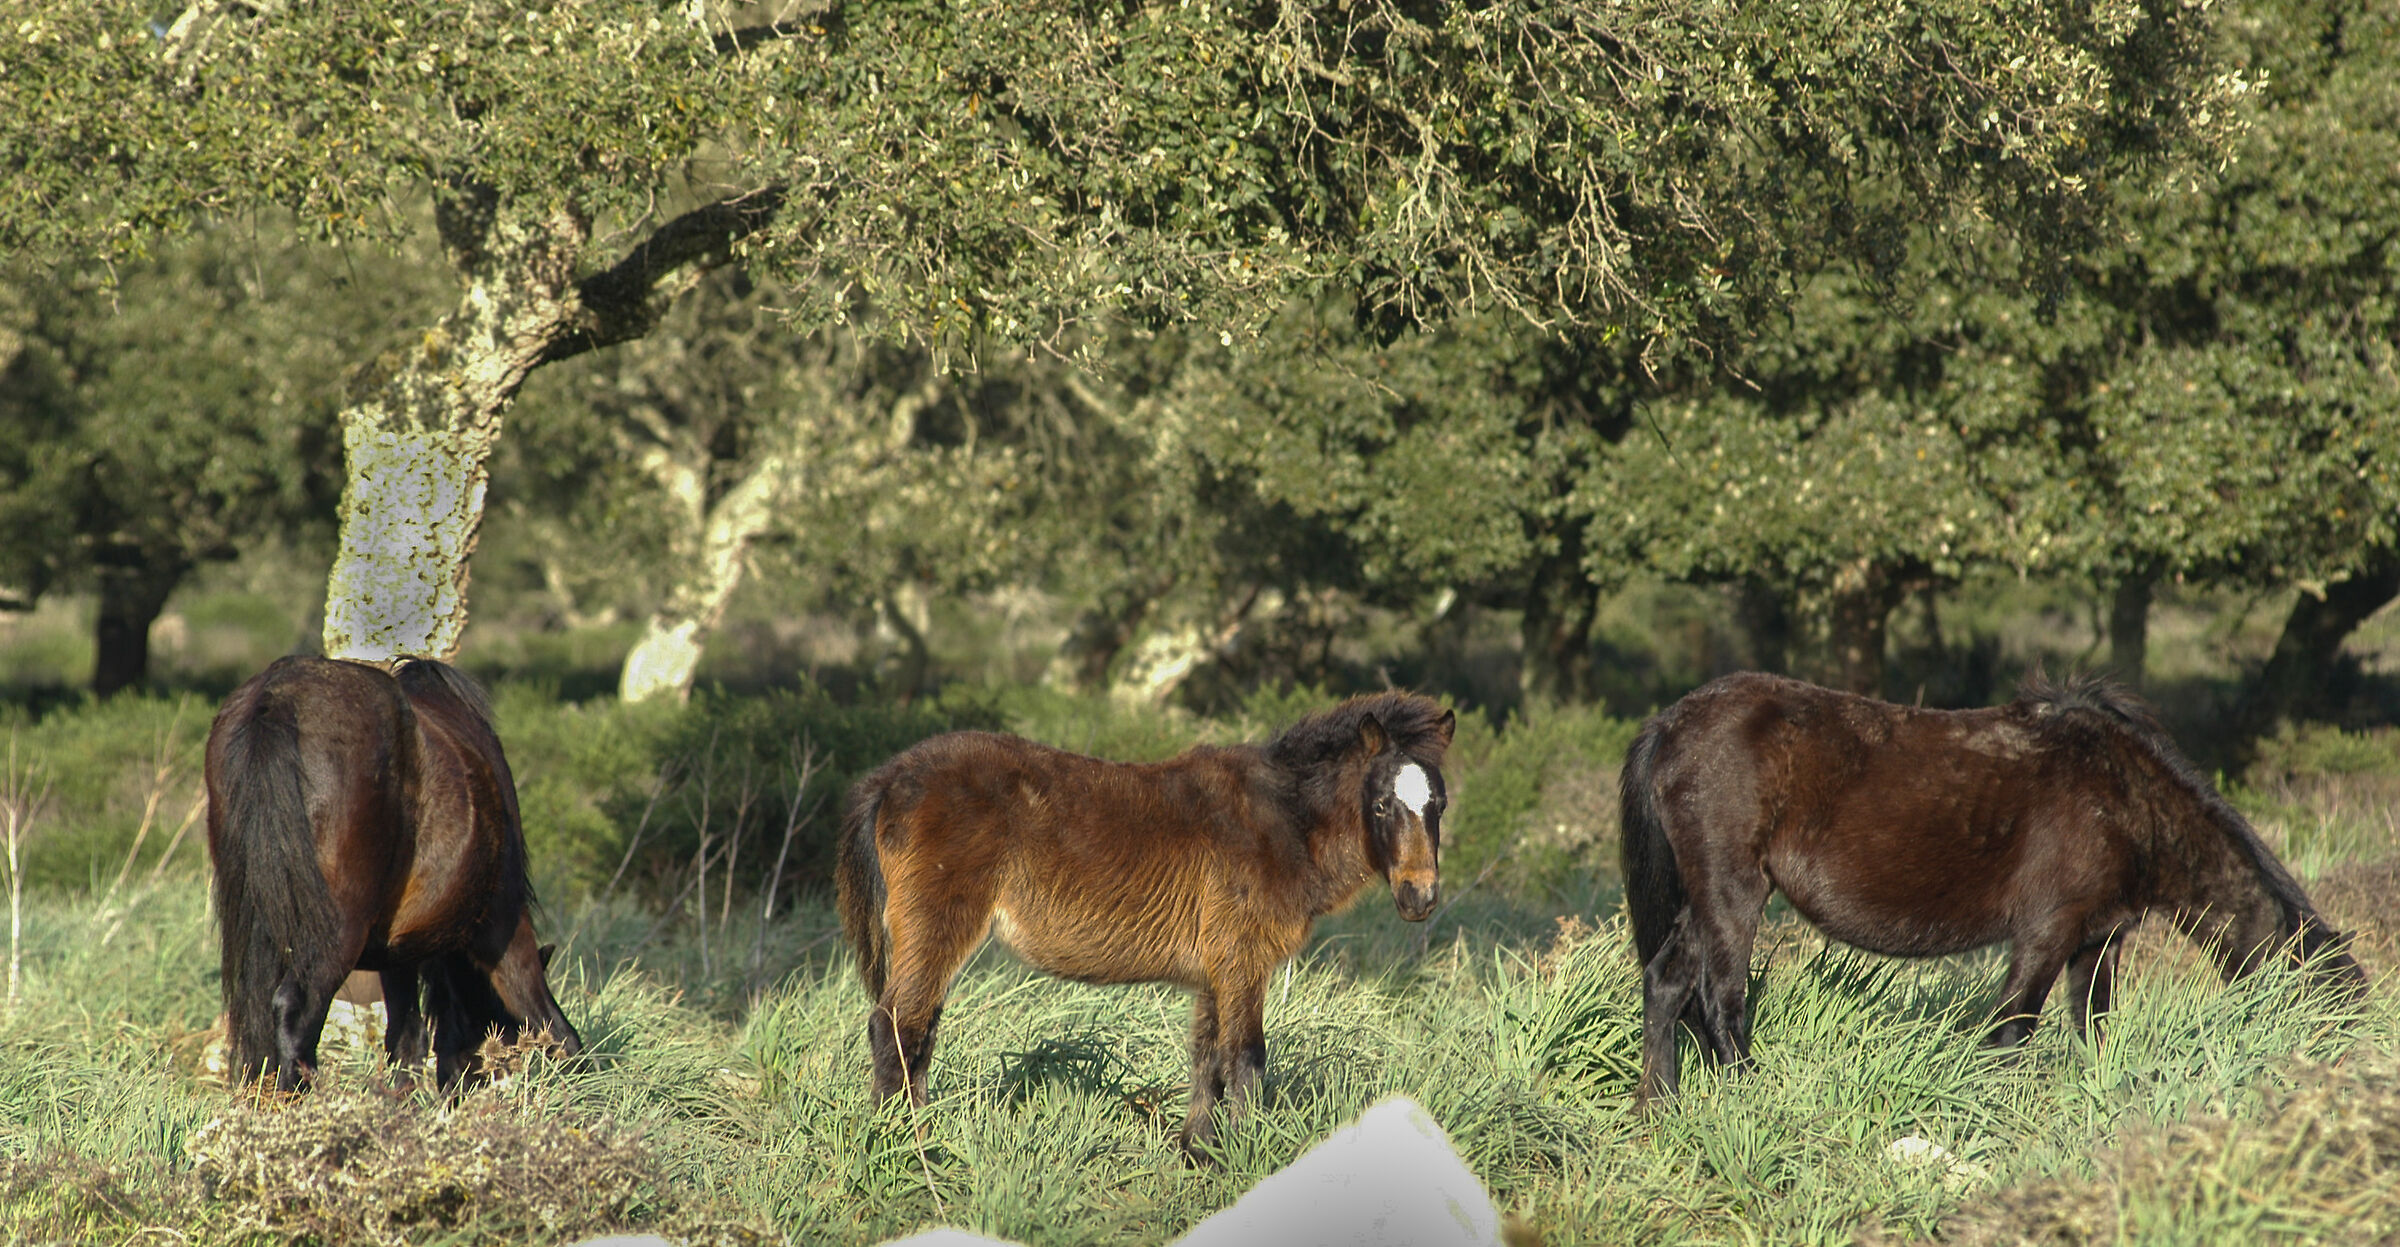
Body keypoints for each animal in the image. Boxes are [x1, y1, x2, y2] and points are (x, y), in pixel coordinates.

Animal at [205, 655, 582, 1092]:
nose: (486, 1078)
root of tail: (278, 695)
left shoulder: (398, 952)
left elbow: (405, 1043)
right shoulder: (501, 928)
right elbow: (556, 1029)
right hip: (339, 935)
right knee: (295, 1013)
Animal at [837, 691, 1456, 1154]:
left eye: (1440, 805)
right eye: (1380, 805)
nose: (1420, 896)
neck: (1284, 819)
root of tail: (890, 777)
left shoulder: (1215, 971)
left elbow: (1209, 1059)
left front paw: (1198, 1154)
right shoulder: (1242, 962)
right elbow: (1246, 1059)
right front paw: (1247, 1161)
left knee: (919, 1032)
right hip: (938, 926)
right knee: (896, 1028)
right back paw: (902, 1148)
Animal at [1619, 670, 2365, 1105]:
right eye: (2321, 1012)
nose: (2333, 1095)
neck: (2127, 802)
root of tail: (1670, 723)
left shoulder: (2097, 939)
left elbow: (2092, 1030)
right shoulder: (2046, 931)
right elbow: (2011, 1033)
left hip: (1703, 899)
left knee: (1668, 982)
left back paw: (1662, 1109)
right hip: (1732, 892)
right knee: (1720, 1000)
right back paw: (1752, 1101)